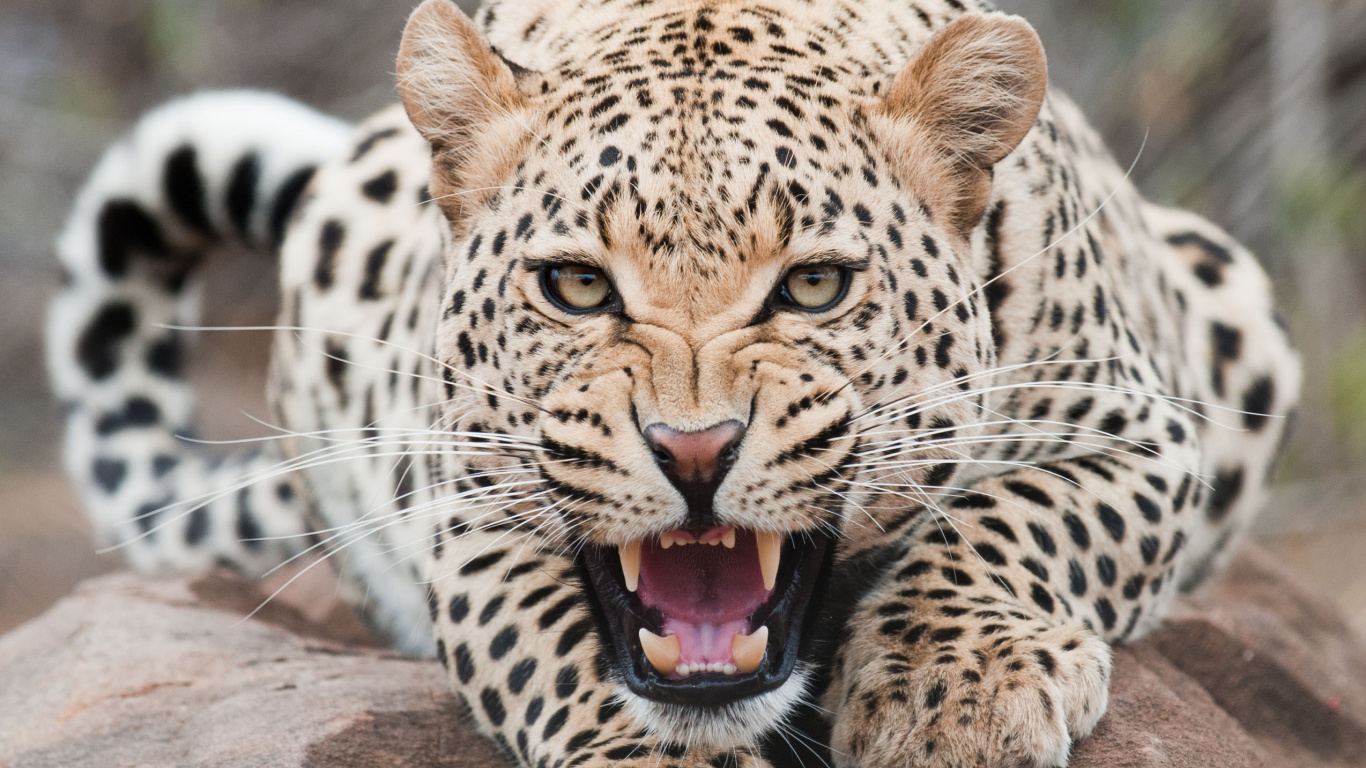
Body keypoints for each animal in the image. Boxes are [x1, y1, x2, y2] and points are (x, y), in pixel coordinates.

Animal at [46, 0, 1302, 765]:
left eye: (812, 287)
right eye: (574, 286)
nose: (693, 452)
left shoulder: (1140, 429)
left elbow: (1015, 518)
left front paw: (954, 695)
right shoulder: (472, 512)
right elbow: (565, 662)